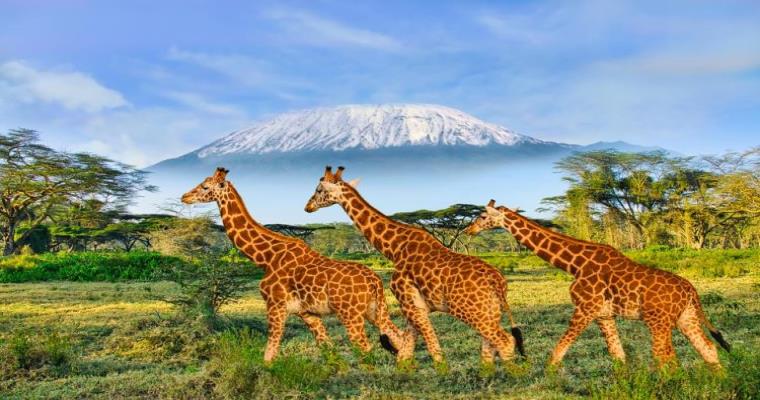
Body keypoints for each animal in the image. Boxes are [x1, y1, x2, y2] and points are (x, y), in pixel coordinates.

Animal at [181, 167, 413, 363]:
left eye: (205, 186)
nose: (184, 197)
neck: (266, 258)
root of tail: (375, 281)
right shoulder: (307, 313)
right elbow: (329, 351)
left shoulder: (275, 306)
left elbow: (269, 356)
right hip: (376, 310)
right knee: (399, 337)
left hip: (351, 314)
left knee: (366, 349)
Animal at [304, 166, 525, 371]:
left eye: (318, 189)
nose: (308, 207)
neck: (394, 249)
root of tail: (498, 282)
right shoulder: (413, 306)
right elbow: (405, 354)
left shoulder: (409, 303)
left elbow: (433, 350)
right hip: (490, 310)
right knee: (492, 344)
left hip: (469, 310)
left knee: (505, 341)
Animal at [464, 200, 731, 368]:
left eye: (482, 216)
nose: (468, 230)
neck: (575, 264)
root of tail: (691, 291)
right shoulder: (603, 314)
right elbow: (618, 356)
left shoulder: (585, 308)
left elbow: (557, 353)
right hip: (687, 317)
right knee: (708, 349)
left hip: (659, 321)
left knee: (666, 357)